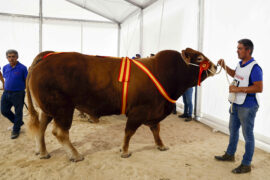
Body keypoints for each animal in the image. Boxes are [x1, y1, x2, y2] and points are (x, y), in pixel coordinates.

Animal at [26, 47, 217, 162]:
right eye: (199, 57)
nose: (215, 66)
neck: (163, 72)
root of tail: (47, 57)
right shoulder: (138, 112)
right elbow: (129, 132)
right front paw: (124, 150)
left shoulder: (153, 112)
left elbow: (156, 130)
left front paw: (161, 145)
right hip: (63, 110)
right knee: (60, 132)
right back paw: (75, 154)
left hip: (48, 110)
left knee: (41, 128)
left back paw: (42, 151)